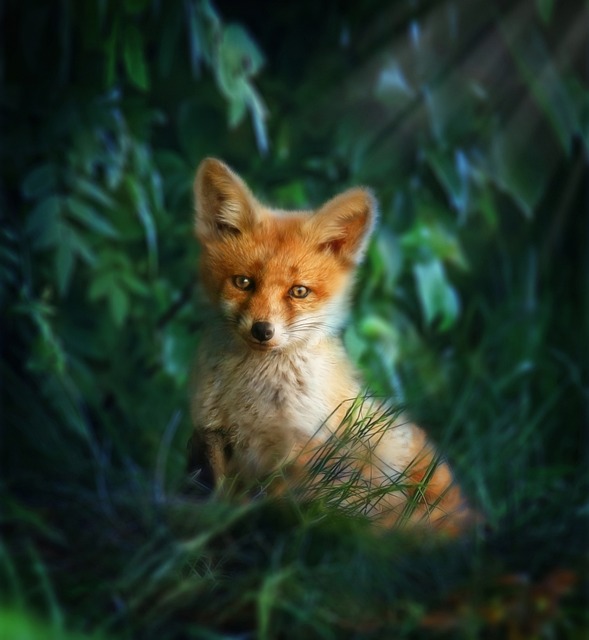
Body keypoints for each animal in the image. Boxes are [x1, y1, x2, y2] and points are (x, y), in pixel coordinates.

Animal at [189, 157, 477, 535]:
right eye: (243, 282)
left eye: (299, 291)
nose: (262, 330)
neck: (257, 398)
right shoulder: (214, 435)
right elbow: (221, 501)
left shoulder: (303, 447)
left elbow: (278, 505)